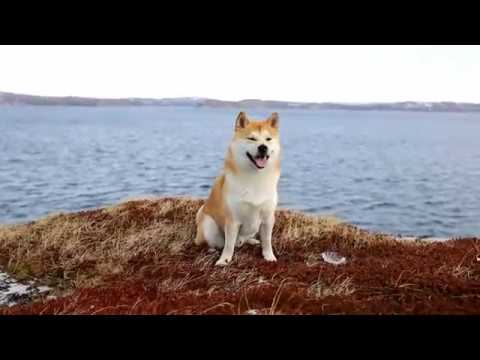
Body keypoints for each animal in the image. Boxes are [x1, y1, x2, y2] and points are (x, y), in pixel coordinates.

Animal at [195, 111, 282, 266]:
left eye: (268, 139)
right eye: (252, 138)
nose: (263, 147)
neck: (255, 178)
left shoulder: (268, 218)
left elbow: (267, 241)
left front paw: (269, 256)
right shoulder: (232, 220)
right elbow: (229, 245)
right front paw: (224, 260)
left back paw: (252, 241)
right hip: (209, 225)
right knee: (215, 243)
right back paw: (212, 250)